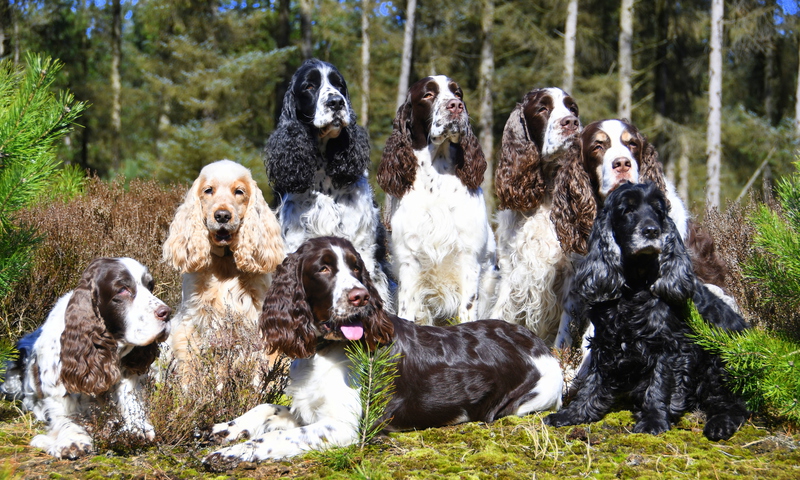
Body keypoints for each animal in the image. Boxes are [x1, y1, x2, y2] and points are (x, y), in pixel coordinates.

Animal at [0, 258, 171, 459]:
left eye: (150, 286)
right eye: (122, 289)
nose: (166, 313)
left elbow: (134, 408)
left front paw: (137, 429)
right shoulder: (58, 398)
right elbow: (67, 420)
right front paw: (72, 441)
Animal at [203, 236, 563, 463]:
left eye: (356, 268)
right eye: (323, 268)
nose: (360, 296)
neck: (325, 349)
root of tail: (538, 343)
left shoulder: (345, 427)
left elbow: (277, 437)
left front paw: (235, 452)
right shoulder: (311, 410)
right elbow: (268, 407)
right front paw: (227, 429)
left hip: (531, 399)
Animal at [377, 75, 495, 325]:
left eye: (458, 93)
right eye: (428, 94)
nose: (456, 106)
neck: (436, 178)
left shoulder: (469, 257)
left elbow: (468, 309)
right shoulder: (409, 259)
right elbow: (406, 309)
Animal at [492, 87, 595, 345]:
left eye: (573, 108)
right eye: (542, 108)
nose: (571, 122)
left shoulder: (572, 275)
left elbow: (563, 334)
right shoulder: (510, 270)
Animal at [543, 183, 749, 441]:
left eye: (658, 211)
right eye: (628, 210)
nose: (652, 231)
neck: (636, 286)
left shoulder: (668, 345)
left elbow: (659, 384)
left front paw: (652, 421)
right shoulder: (606, 341)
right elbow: (593, 381)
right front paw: (573, 414)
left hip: (718, 363)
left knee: (733, 402)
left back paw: (719, 424)